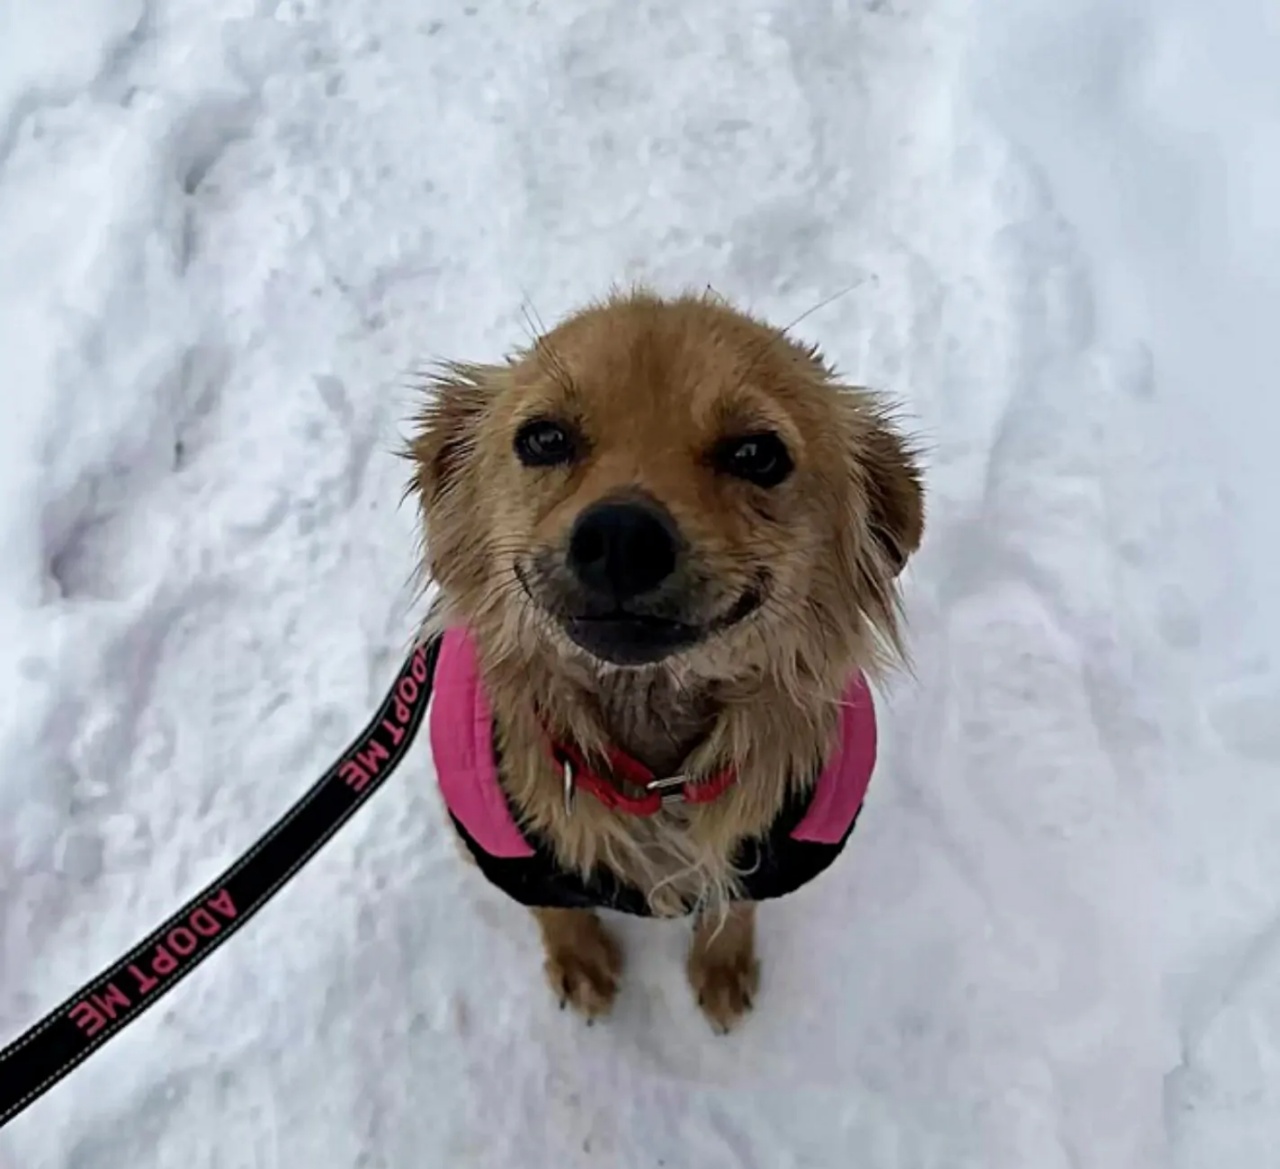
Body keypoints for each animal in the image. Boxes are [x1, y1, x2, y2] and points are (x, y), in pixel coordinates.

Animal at [409, 289, 921, 1029]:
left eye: (758, 453)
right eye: (543, 438)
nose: (622, 536)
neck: (655, 778)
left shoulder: (773, 852)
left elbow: (733, 902)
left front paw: (721, 965)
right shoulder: (505, 848)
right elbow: (554, 909)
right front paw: (580, 959)